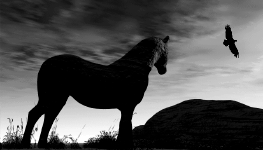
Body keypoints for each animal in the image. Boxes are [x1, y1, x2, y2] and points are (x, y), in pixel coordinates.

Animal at [20, 35, 169, 148]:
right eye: (167, 51)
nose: (163, 71)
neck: (137, 66)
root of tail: (45, 63)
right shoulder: (128, 106)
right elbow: (126, 126)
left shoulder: (126, 107)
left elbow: (123, 126)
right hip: (51, 96)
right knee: (35, 114)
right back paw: (25, 144)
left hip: (58, 99)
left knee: (48, 117)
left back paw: (43, 145)